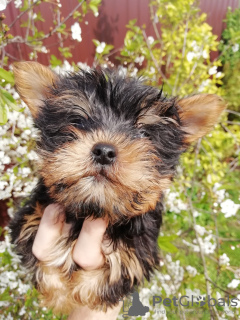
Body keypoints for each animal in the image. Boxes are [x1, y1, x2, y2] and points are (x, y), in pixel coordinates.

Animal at [9, 61, 225, 314]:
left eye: (143, 133)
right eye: (78, 122)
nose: (104, 150)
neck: (94, 209)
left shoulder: (140, 249)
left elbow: (115, 270)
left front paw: (82, 294)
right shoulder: (32, 218)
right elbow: (44, 261)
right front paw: (60, 297)